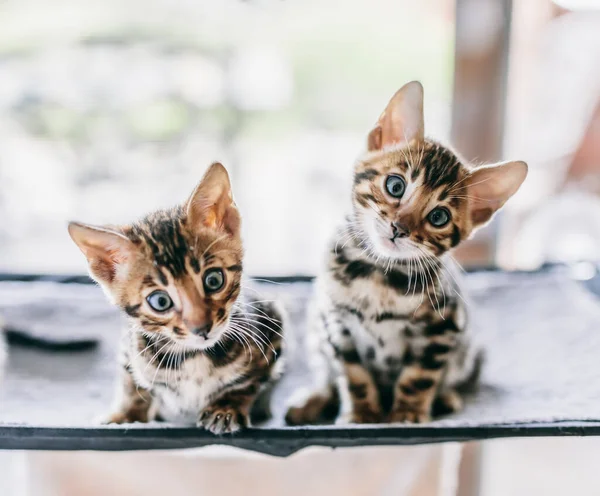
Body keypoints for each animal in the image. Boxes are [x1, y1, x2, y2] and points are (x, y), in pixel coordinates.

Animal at [70, 164, 286, 434]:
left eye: (214, 280)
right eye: (160, 302)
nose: (202, 329)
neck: (193, 355)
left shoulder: (272, 325)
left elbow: (248, 382)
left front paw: (226, 408)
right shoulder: (130, 346)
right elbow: (131, 384)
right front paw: (125, 415)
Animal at [286, 82, 524, 426]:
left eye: (439, 217)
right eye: (395, 186)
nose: (399, 228)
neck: (377, 272)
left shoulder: (443, 329)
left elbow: (419, 377)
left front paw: (407, 415)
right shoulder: (336, 323)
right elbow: (352, 374)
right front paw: (362, 414)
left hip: (469, 350)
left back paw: (446, 398)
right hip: (316, 328)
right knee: (325, 374)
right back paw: (312, 399)